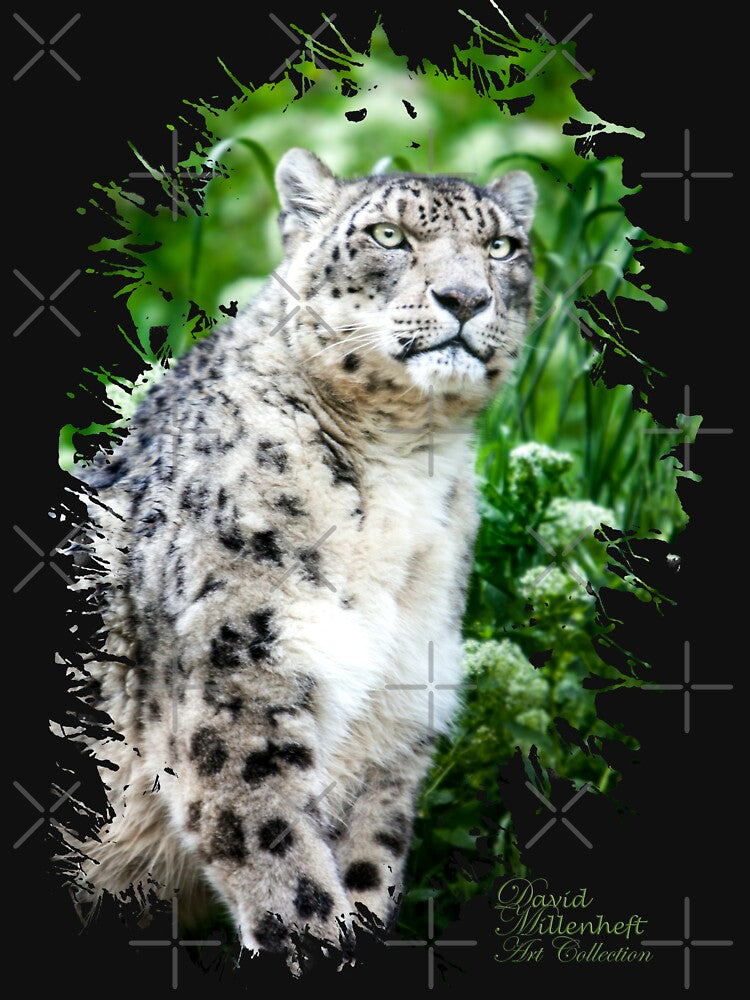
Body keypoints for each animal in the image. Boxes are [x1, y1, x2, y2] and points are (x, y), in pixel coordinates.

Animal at [68, 147, 536, 964]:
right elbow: (282, 866)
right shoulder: (237, 689)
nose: (466, 297)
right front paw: (311, 945)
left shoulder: (392, 725)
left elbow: (365, 868)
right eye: (388, 235)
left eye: (503, 247)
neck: (404, 466)